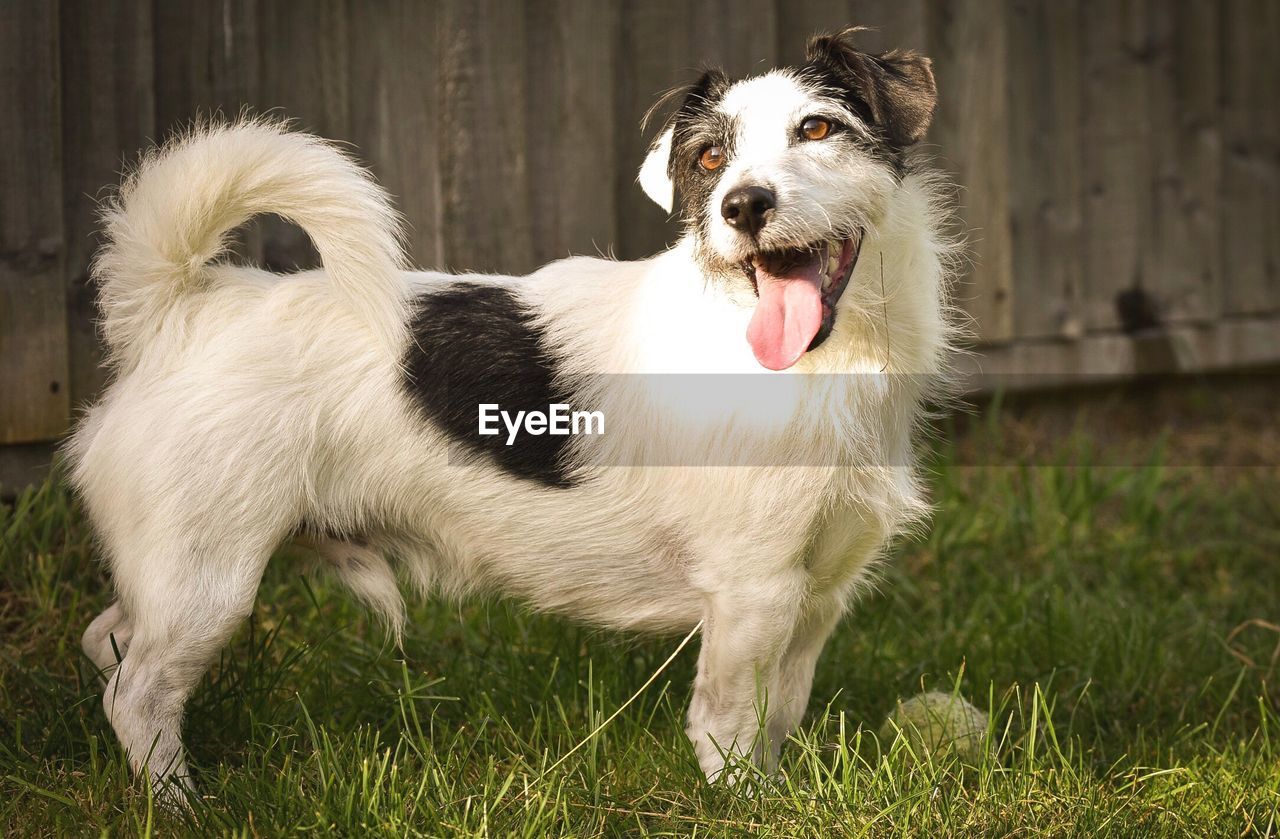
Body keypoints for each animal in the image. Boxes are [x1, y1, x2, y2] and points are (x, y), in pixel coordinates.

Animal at [67, 27, 952, 799]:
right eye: (711, 157)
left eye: (818, 127)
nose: (743, 205)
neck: (825, 360)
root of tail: (180, 307)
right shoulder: (753, 590)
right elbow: (729, 722)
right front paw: (749, 803)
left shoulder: (817, 595)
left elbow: (781, 713)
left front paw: (782, 789)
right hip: (207, 580)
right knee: (138, 693)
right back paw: (179, 801)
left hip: (174, 574)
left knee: (107, 642)